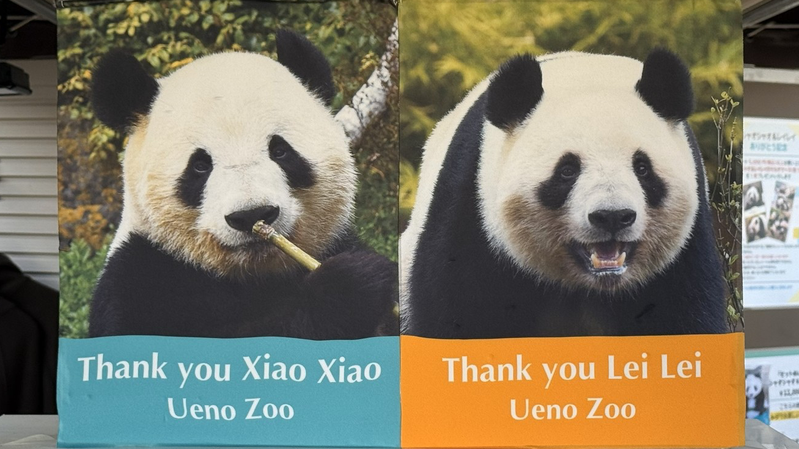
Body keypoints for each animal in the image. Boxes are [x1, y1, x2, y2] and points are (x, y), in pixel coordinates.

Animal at [88, 30, 397, 339]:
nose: (252, 215)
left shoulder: (335, 243)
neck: (252, 274)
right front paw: (349, 286)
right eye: (200, 165)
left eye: (280, 151)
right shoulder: (138, 278)